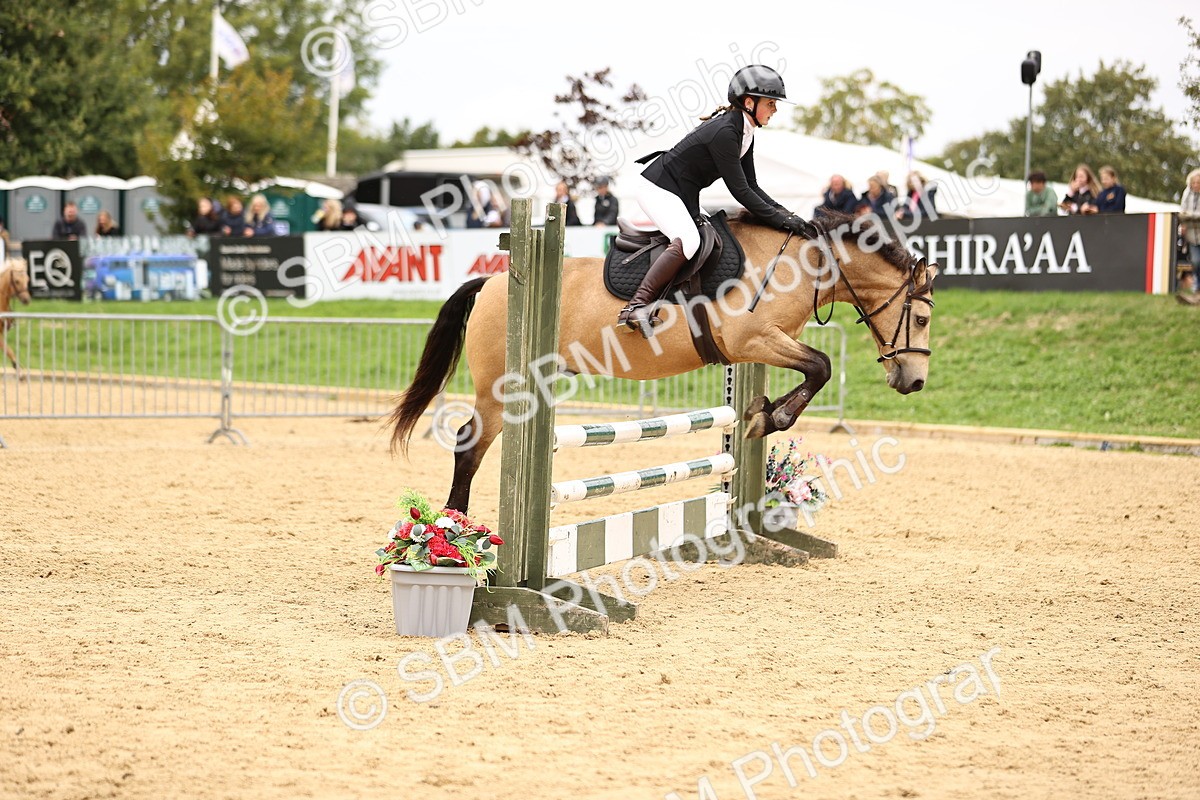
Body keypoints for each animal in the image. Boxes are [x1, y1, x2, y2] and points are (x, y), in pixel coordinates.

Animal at [388, 211, 938, 513]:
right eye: (923, 319)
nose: (914, 382)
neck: (804, 265)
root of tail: (493, 281)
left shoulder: (763, 344)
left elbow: (813, 370)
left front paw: (759, 411)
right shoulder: (752, 338)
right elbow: (821, 365)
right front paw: (767, 418)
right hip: (501, 390)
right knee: (468, 444)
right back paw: (455, 532)